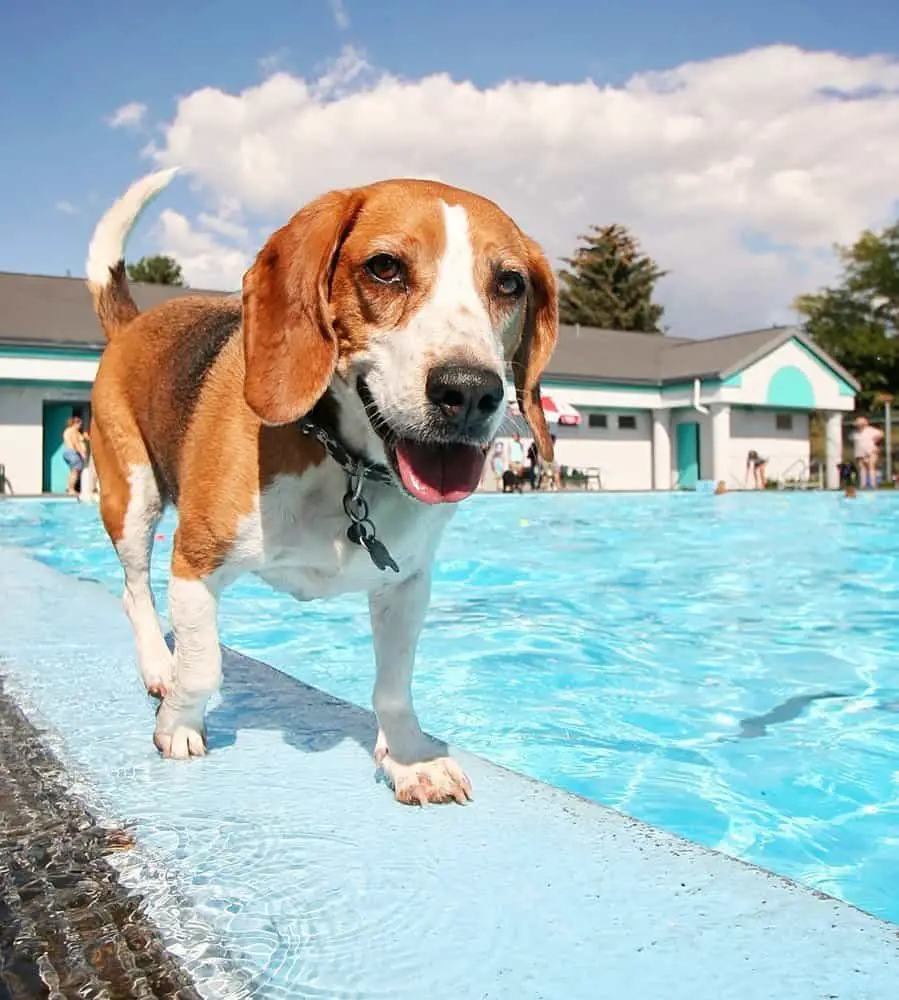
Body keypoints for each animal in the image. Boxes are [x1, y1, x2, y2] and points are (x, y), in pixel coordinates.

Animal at [88, 166, 560, 804]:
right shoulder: (195, 561)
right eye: (384, 267)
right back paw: (160, 669)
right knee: (134, 592)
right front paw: (179, 725)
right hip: (133, 499)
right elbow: (204, 664)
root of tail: (132, 323)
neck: (346, 462)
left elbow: (394, 686)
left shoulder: (407, 585)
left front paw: (409, 759)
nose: (469, 392)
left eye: (510, 282)